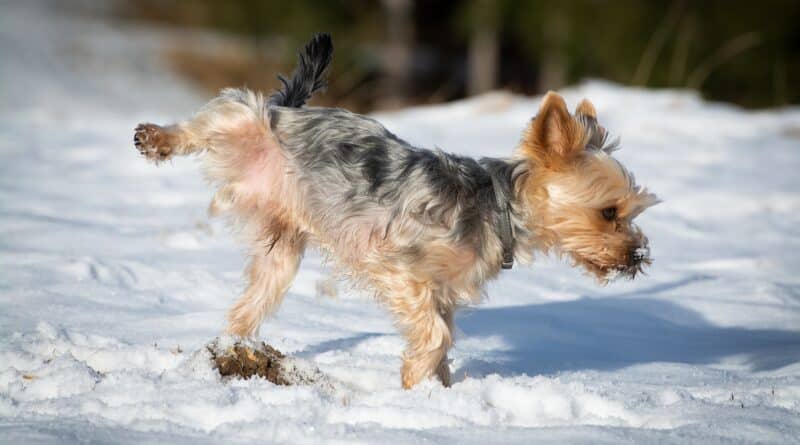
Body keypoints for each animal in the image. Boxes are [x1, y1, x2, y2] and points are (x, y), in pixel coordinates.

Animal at [133, 33, 656, 386]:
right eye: (609, 212)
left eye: (632, 213)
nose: (637, 257)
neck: (498, 209)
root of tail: (291, 108)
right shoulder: (400, 268)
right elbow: (436, 335)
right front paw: (415, 382)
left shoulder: (443, 293)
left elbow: (441, 336)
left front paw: (435, 393)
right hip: (246, 118)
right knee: (215, 116)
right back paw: (155, 138)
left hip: (281, 251)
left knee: (251, 301)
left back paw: (231, 347)